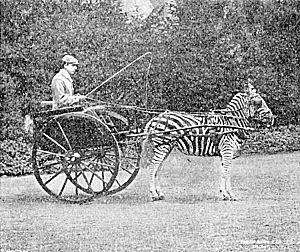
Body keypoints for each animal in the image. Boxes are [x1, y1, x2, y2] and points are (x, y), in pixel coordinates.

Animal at [141, 84, 274, 201]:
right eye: (258, 102)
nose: (272, 119)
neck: (231, 123)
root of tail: (155, 118)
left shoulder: (224, 153)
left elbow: (224, 172)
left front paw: (224, 194)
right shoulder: (227, 150)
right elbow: (227, 172)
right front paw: (229, 195)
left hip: (166, 148)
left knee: (157, 169)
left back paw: (160, 194)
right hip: (162, 147)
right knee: (152, 168)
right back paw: (153, 195)